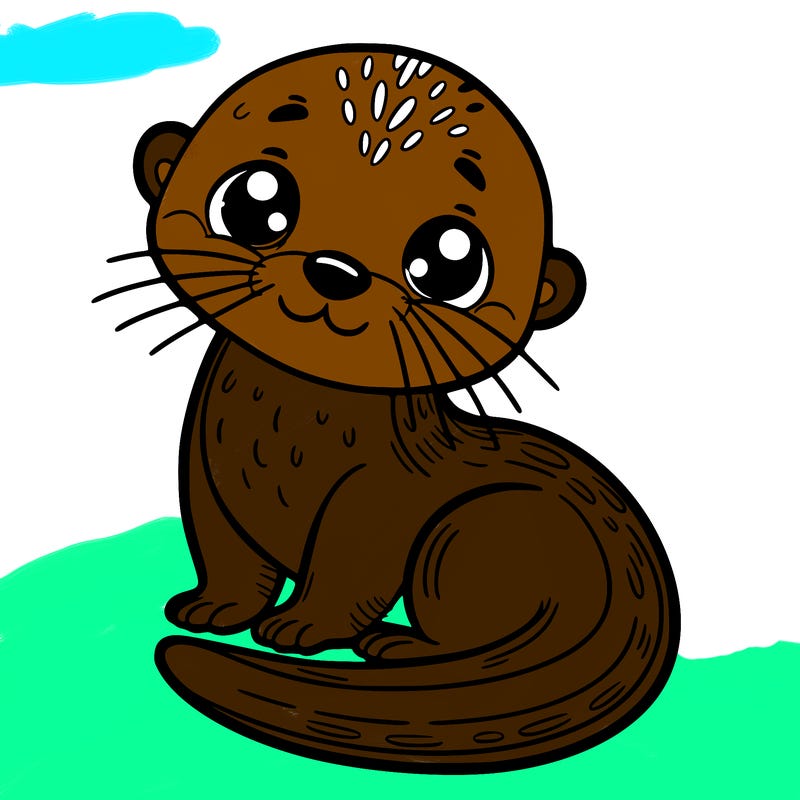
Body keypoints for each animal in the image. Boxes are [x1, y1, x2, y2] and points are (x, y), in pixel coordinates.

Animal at [104, 45, 679, 773]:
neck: (282, 437)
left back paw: (400, 646)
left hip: (474, 529)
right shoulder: (206, 472)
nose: (335, 270)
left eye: (449, 262)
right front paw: (213, 608)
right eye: (255, 200)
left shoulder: (379, 496)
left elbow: (351, 570)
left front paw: (301, 627)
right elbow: (225, 551)